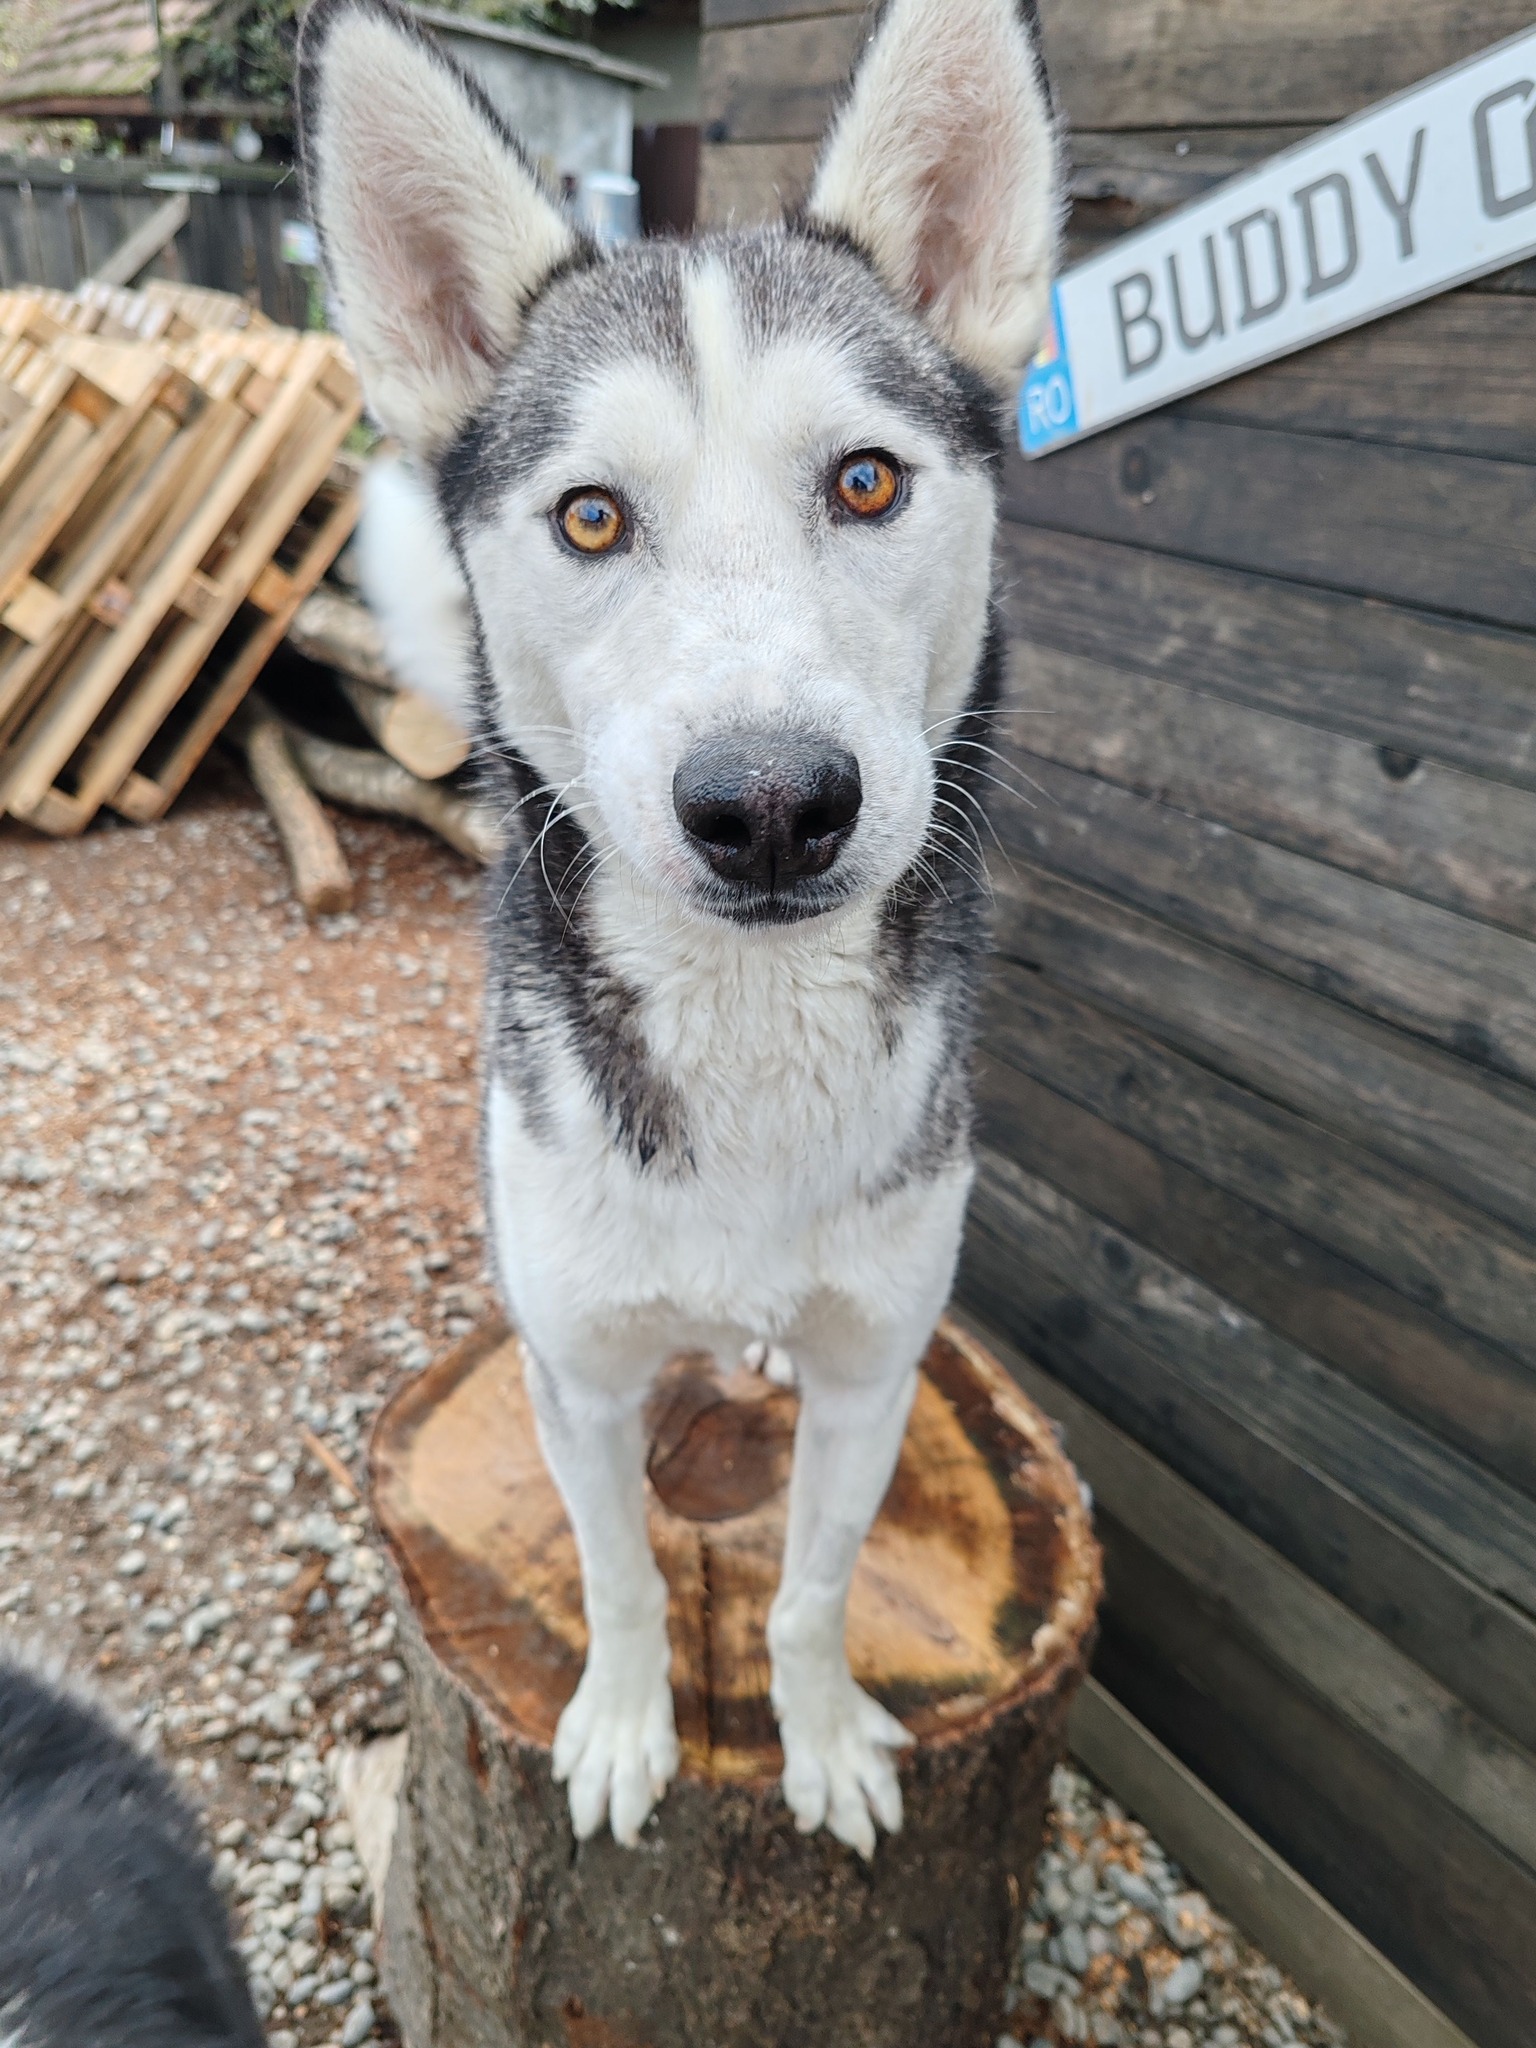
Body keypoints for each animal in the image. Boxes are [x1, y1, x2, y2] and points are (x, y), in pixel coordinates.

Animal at [298, 0, 1060, 1858]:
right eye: (590, 514)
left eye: (866, 482)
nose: (773, 803)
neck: (751, 1028)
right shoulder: (577, 1375)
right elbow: (627, 1575)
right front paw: (629, 1723)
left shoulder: (877, 1368)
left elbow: (807, 1587)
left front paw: (820, 1734)